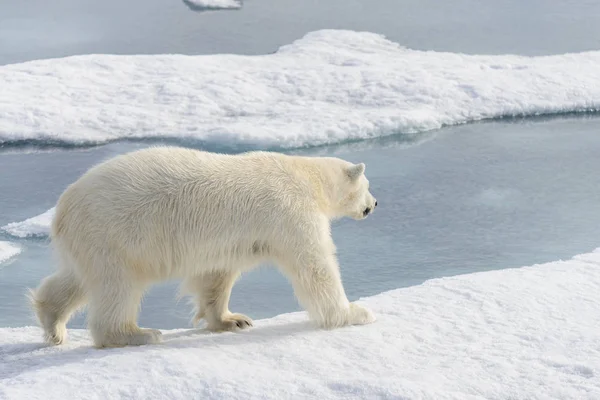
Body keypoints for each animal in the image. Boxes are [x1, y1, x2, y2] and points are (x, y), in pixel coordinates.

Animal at [30, 147, 378, 346]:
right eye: (368, 185)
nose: (374, 203)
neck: (307, 176)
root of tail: (63, 209)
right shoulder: (290, 211)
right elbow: (315, 265)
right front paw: (355, 312)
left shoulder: (230, 240)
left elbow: (216, 276)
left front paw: (232, 320)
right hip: (114, 233)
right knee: (118, 287)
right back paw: (136, 334)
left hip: (91, 242)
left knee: (76, 279)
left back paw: (53, 323)